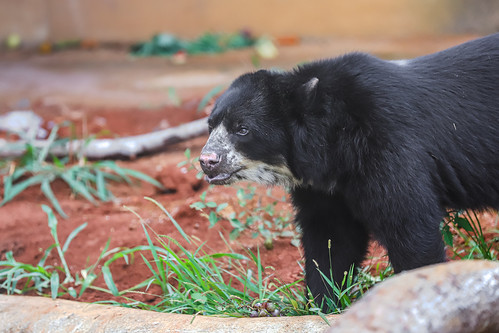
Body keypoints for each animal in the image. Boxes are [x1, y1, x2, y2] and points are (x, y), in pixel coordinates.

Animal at [199, 32, 499, 308]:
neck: (334, 142)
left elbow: (409, 223)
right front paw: (321, 304)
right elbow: (332, 240)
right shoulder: (324, 187)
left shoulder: (389, 146)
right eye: (210, 125)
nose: (207, 160)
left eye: (242, 129)